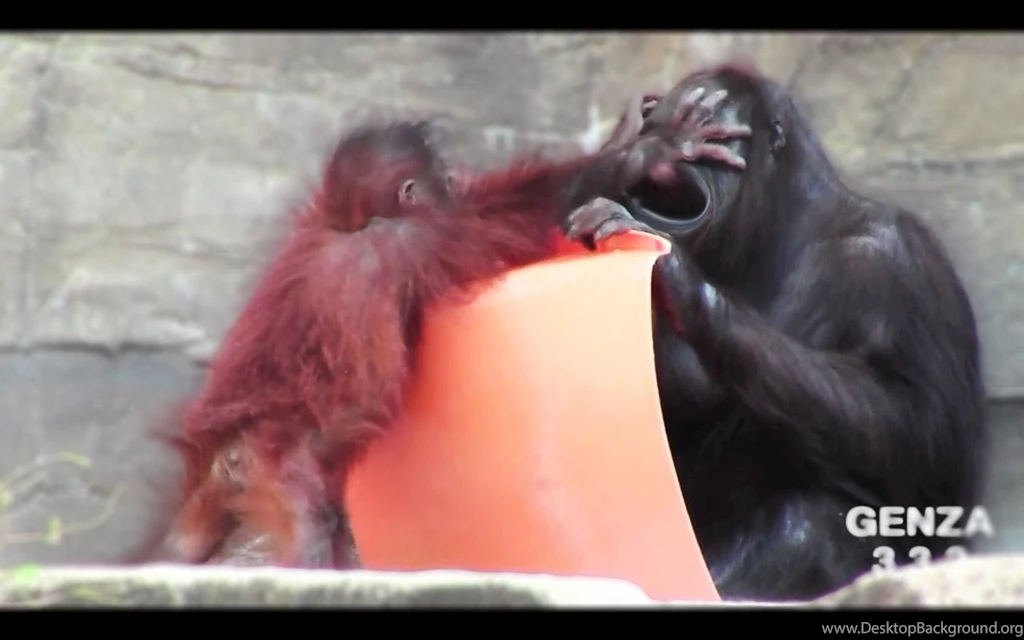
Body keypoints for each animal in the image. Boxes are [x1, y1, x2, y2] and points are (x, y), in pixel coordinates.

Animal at [139, 92, 751, 569]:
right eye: (440, 179)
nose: (455, 180)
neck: (352, 225)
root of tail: (224, 453)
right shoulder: (412, 242)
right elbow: (512, 217)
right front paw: (647, 150)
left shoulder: (321, 211)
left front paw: (628, 139)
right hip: (273, 468)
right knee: (307, 523)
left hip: (224, 484)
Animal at [561, 62, 986, 601]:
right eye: (660, 126)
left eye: (714, 134)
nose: (666, 154)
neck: (772, 230)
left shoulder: (900, 261)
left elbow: (919, 429)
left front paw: (685, 283)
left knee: (810, 522)